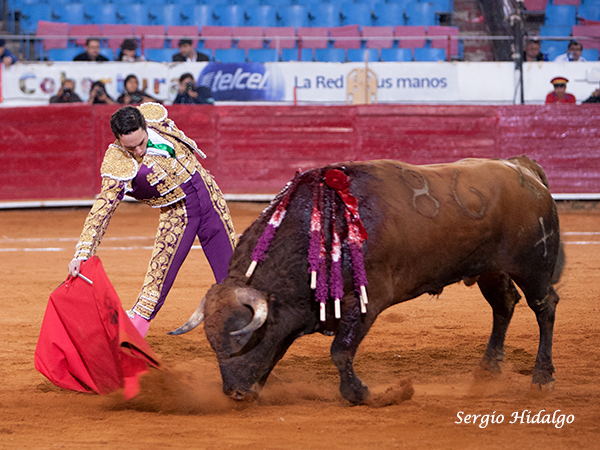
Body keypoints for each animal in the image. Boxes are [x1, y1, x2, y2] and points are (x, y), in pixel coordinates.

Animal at [171, 156, 564, 406]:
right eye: (212, 344)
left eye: (244, 338)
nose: (235, 393)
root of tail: (523, 169)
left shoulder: (365, 302)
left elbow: (340, 351)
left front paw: (361, 394)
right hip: (489, 270)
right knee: (504, 305)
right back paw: (488, 369)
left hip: (533, 266)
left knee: (544, 308)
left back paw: (542, 378)